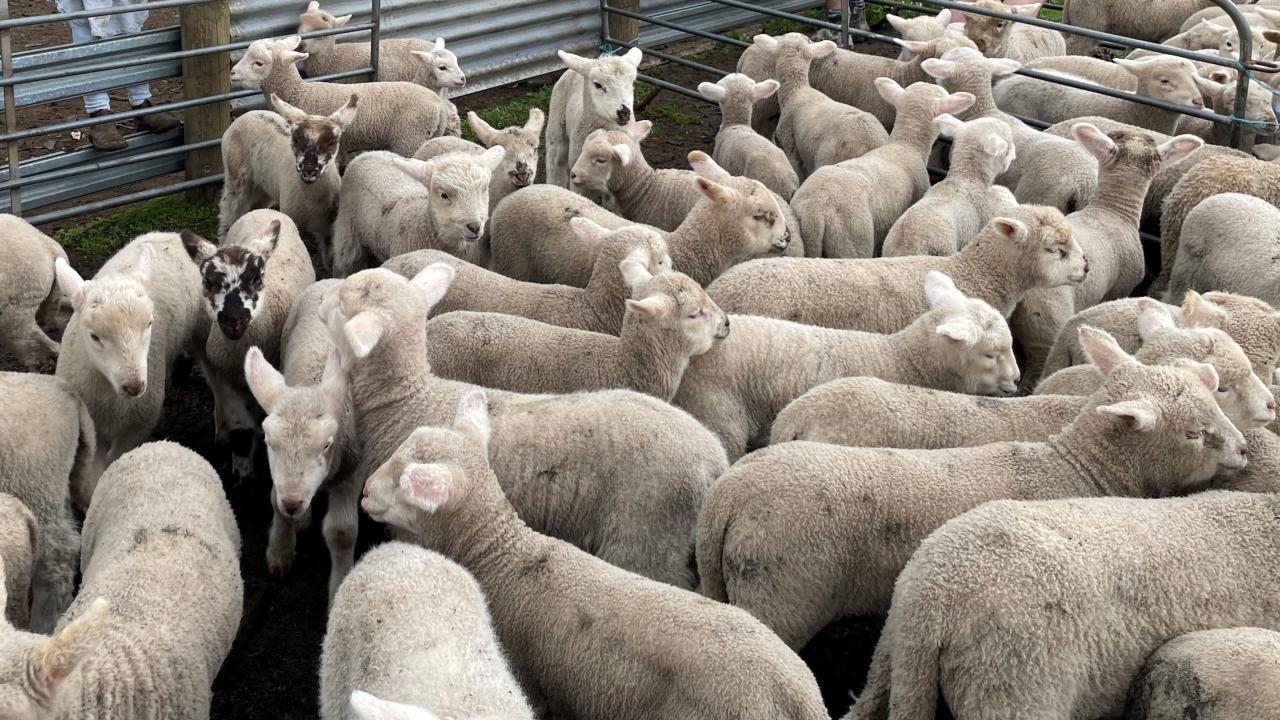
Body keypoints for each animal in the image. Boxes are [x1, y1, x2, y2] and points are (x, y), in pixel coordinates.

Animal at [54, 232, 209, 485]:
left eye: (149, 323)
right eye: (94, 336)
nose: (134, 386)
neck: (112, 397)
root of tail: (167, 233)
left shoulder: (138, 426)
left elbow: (116, 461)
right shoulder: (93, 427)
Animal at [182, 210, 316, 481]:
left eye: (257, 277)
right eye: (208, 281)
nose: (233, 320)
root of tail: (266, 211)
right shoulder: (226, 380)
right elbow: (241, 431)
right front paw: (242, 474)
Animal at [218, 93, 357, 249]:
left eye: (332, 142)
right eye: (295, 139)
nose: (309, 170)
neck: (313, 202)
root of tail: (248, 113)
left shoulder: (328, 228)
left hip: (264, 185)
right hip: (235, 175)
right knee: (228, 211)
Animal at [230, 36, 458, 157]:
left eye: (258, 63)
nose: (232, 73)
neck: (299, 93)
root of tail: (438, 104)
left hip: (409, 139)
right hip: (429, 137)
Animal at [242, 280, 359, 604]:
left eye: (327, 444)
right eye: (268, 441)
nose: (293, 502)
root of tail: (335, 280)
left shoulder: (355, 468)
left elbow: (342, 533)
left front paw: (339, 587)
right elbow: (274, 501)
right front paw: (280, 552)